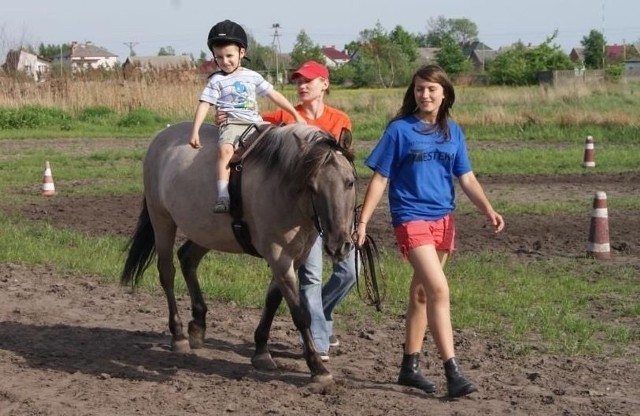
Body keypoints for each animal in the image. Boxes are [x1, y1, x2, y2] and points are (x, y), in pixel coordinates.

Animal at [120, 120, 358, 386]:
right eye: (312, 186)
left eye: (349, 182)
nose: (340, 245)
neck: (283, 186)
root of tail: (161, 136)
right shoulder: (279, 257)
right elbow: (299, 313)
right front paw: (317, 367)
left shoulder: (295, 257)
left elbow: (272, 301)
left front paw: (261, 351)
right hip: (162, 220)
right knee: (167, 273)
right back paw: (179, 334)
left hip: (208, 231)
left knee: (187, 258)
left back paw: (198, 324)